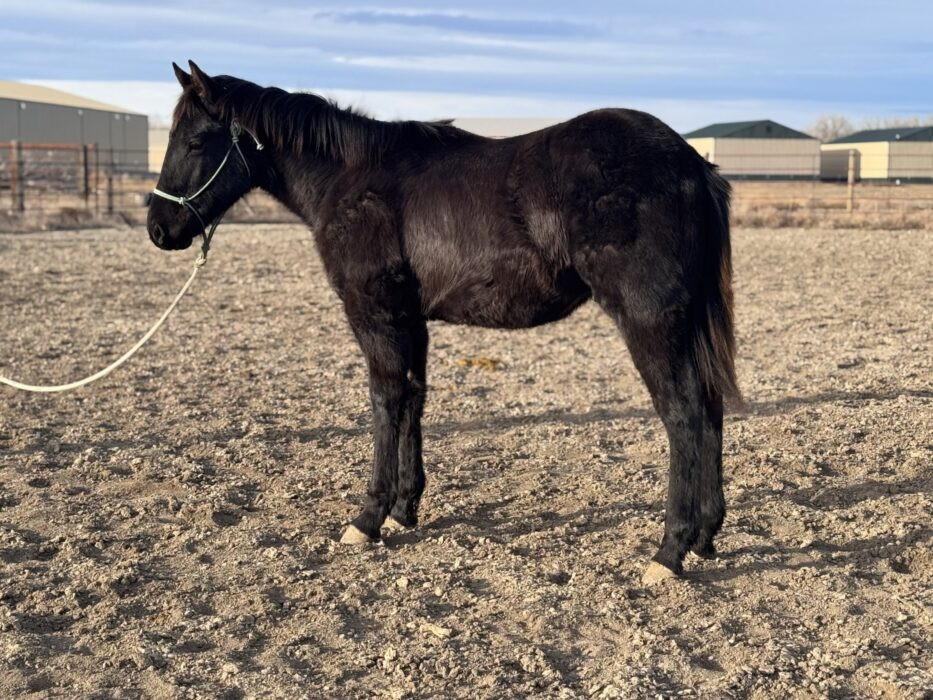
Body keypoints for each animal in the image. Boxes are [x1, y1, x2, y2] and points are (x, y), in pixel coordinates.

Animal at [148, 61, 741, 583]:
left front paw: (367, 519)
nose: (159, 228)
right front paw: (402, 511)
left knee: (684, 414)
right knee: (710, 408)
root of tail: (692, 163)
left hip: (649, 318)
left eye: (196, 142)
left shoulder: (375, 316)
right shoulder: (411, 320)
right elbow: (413, 398)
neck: (349, 178)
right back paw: (705, 537)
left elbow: (385, 402)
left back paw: (669, 552)